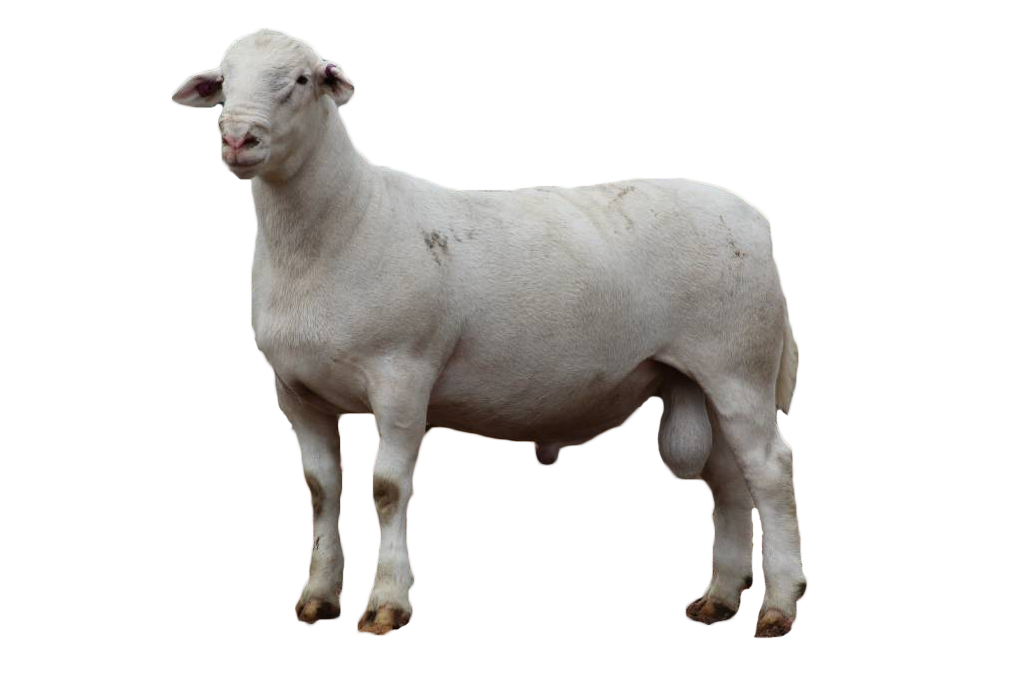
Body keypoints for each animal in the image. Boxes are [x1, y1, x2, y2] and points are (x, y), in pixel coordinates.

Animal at [171, 28, 806, 636]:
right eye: (223, 79)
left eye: (301, 80)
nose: (238, 141)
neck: (342, 224)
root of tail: (758, 222)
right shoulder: (295, 389)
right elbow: (322, 487)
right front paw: (318, 594)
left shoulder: (402, 375)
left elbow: (386, 487)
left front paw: (387, 602)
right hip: (698, 376)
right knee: (728, 478)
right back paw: (721, 596)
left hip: (737, 366)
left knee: (770, 469)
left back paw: (777, 606)